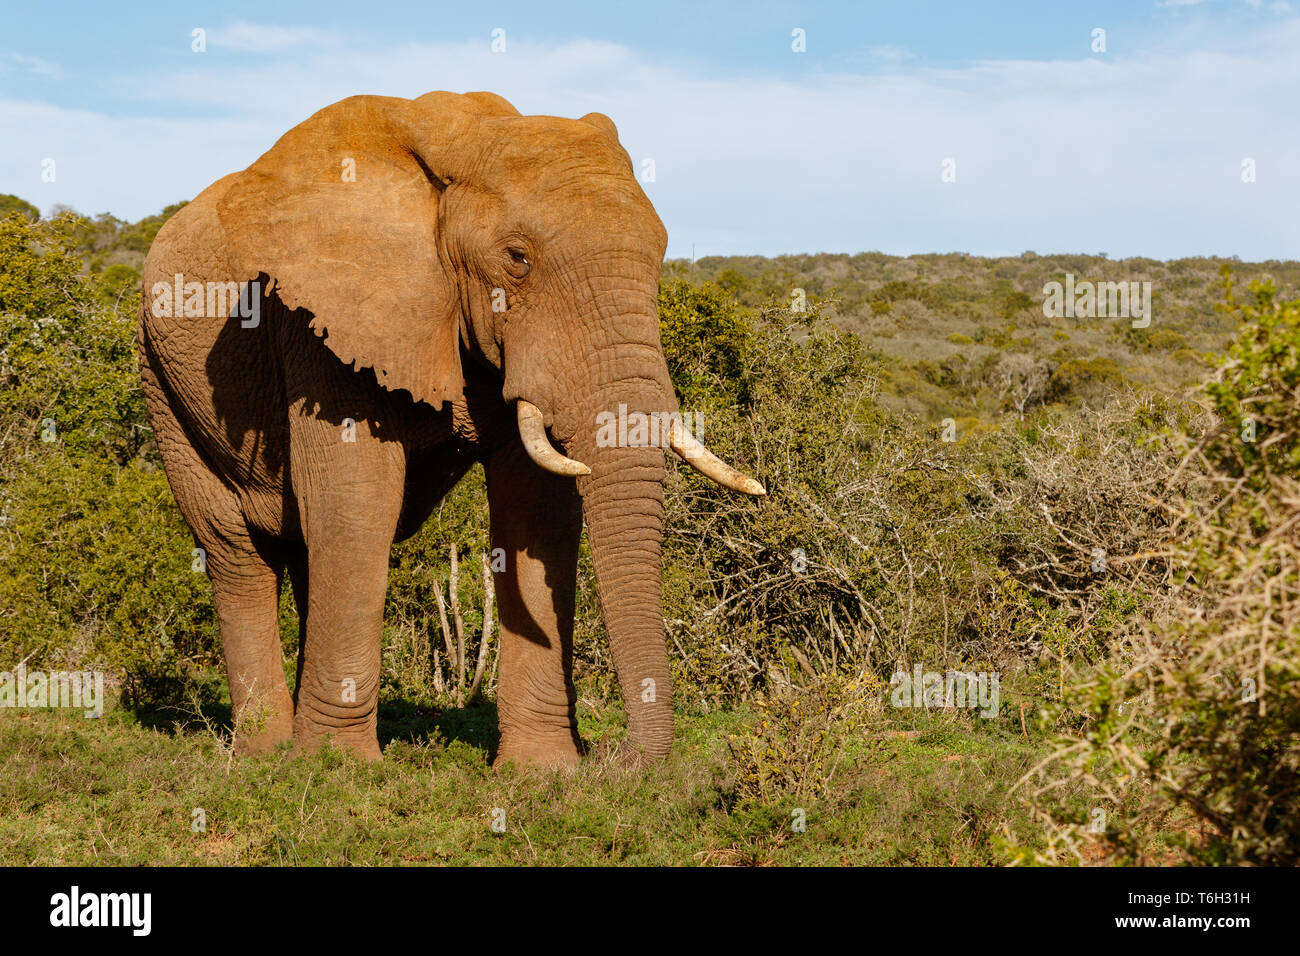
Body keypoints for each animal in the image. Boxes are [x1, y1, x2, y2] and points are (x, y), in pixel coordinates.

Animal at [134, 89, 759, 770]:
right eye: (517, 259)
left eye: (661, 256)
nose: (616, 762)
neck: (465, 143)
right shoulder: (322, 321)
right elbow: (358, 500)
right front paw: (338, 770)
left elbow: (537, 509)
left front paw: (543, 773)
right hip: (161, 381)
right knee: (235, 551)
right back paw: (267, 754)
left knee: (300, 551)